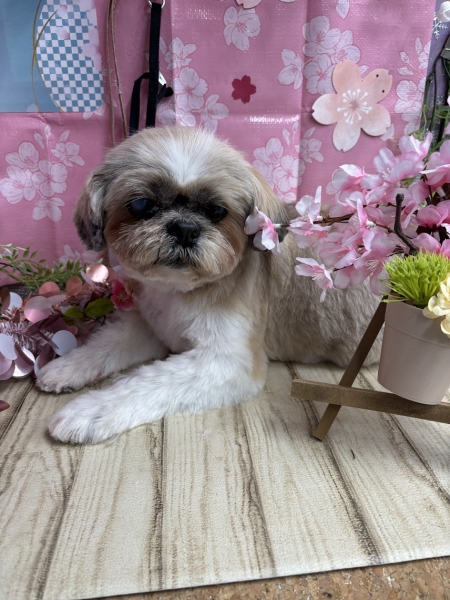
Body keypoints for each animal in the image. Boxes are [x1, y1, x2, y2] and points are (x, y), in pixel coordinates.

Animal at [36, 126, 380, 444]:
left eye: (216, 210)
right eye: (142, 205)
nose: (184, 228)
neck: (179, 292)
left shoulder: (227, 363)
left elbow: (145, 381)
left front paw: (89, 410)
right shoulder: (155, 328)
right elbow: (108, 342)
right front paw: (67, 366)